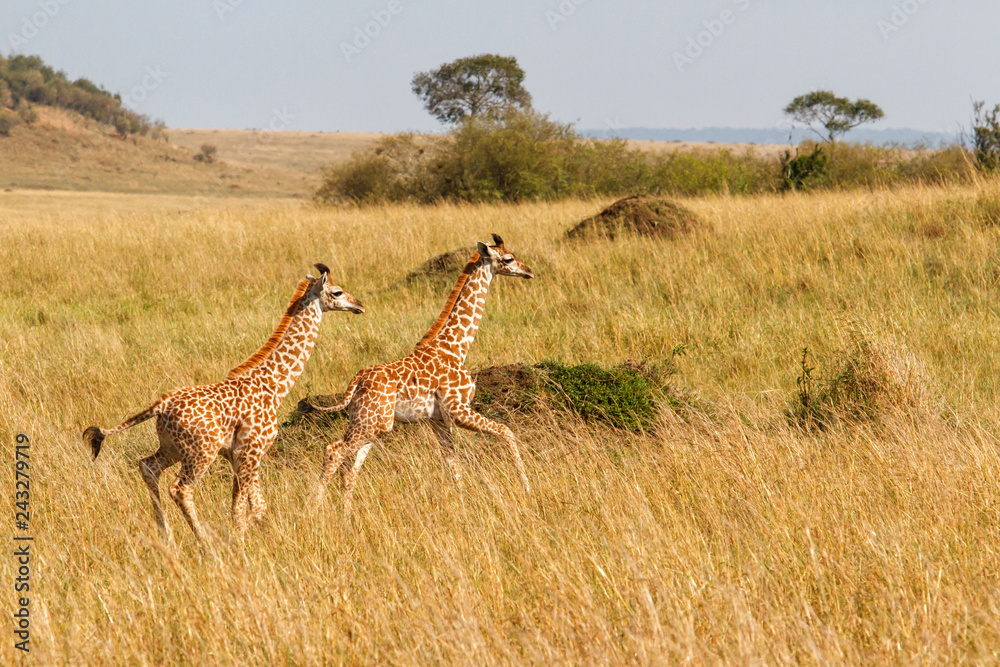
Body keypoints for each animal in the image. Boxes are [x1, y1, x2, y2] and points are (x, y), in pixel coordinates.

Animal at [82, 265, 364, 540]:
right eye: (337, 292)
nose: (359, 304)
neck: (274, 386)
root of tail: (160, 406)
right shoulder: (250, 451)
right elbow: (241, 507)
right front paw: (240, 543)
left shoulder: (238, 454)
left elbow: (256, 506)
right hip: (200, 453)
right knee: (181, 489)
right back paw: (203, 542)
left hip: (172, 448)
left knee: (148, 467)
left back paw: (166, 536)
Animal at [299, 234, 534, 513]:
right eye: (508, 259)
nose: (528, 271)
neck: (456, 347)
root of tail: (356, 381)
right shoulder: (458, 410)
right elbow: (506, 431)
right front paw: (527, 488)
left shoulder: (438, 421)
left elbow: (453, 465)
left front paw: (462, 506)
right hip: (369, 425)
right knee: (334, 452)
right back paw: (313, 509)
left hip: (368, 424)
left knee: (350, 468)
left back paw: (346, 514)